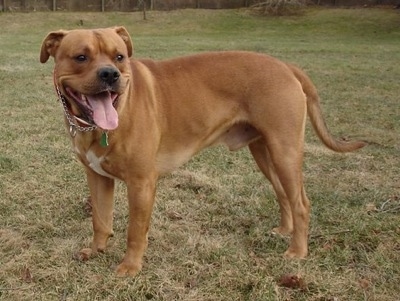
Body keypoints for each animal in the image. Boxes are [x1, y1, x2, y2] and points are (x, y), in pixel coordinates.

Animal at [39, 27, 366, 276]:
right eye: (81, 57)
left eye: (119, 56)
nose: (110, 74)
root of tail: (286, 66)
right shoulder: (97, 178)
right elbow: (100, 219)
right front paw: (96, 251)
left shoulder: (141, 183)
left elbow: (135, 230)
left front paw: (130, 267)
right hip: (265, 152)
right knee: (283, 194)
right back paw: (285, 231)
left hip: (285, 151)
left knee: (301, 203)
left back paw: (297, 251)